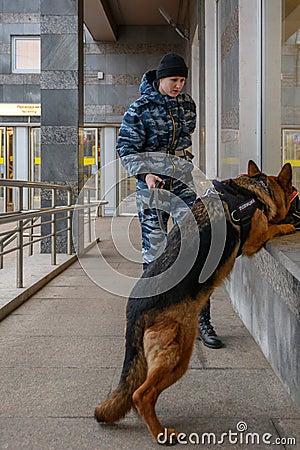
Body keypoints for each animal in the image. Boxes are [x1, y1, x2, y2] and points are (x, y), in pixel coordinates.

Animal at [94, 161, 296, 442]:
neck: (253, 191)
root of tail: (134, 307)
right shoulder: (256, 239)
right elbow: (272, 226)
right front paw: (288, 226)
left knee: (136, 391)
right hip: (178, 354)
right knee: (141, 394)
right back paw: (161, 433)